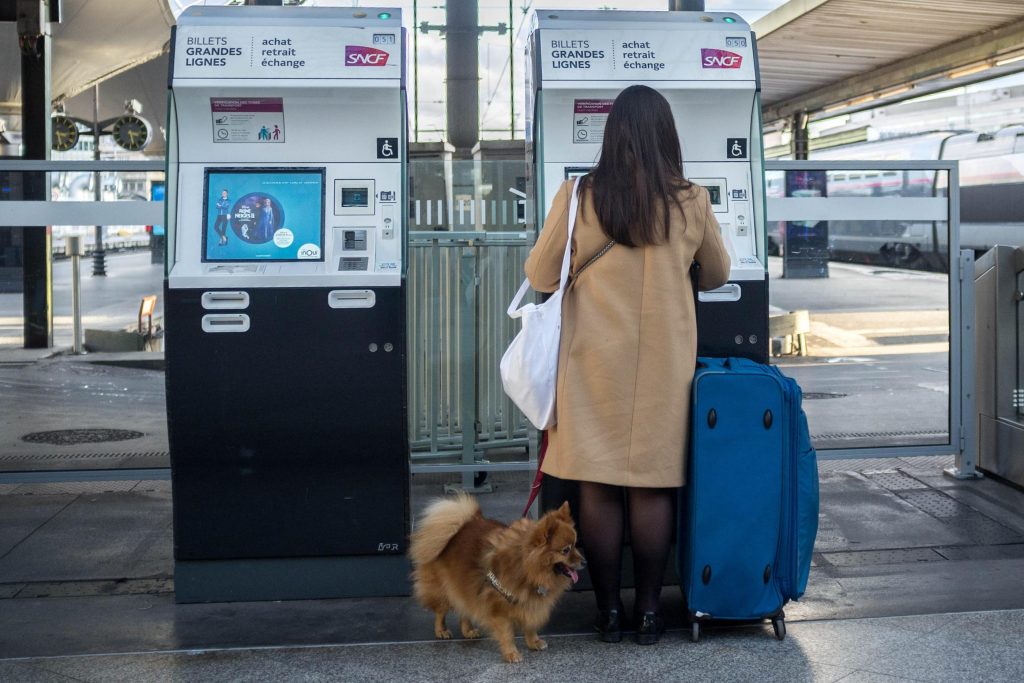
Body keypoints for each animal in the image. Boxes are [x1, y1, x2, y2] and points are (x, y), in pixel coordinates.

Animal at [407, 493, 585, 663]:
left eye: (576, 545)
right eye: (565, 550)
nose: (585, 561)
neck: (526, 566)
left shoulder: (529, 602)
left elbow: (530, 625)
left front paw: (533, 642)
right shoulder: (499, 607)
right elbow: (506, 633)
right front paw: (511, 653)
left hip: (463, 583)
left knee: (464, 608)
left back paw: (468, 630)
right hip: (444, 588)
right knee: (440, 611)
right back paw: (441, 630)